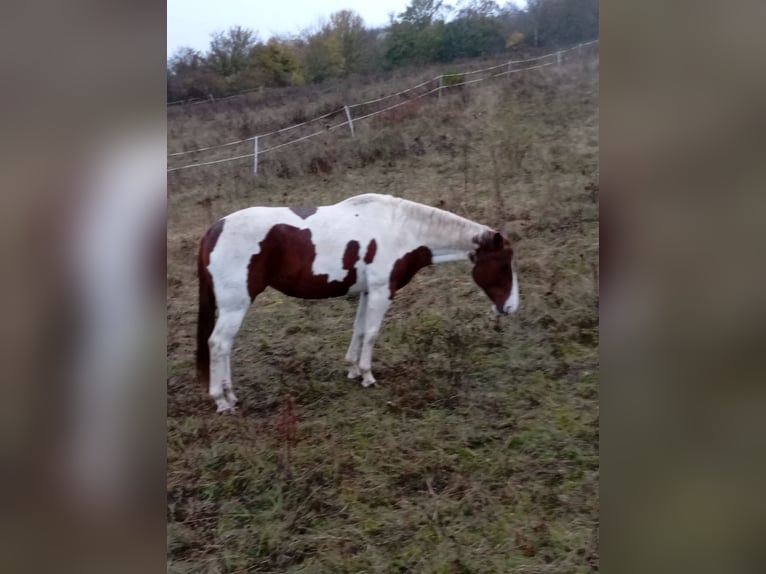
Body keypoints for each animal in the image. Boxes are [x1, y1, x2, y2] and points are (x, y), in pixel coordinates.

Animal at [198, 194, 520, 414]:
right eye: (504, 265)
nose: (511, 308)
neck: (402, 229)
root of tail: (214, 230)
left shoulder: (366, 292)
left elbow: (359, 329)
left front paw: (353, 369)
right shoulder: (381, 292)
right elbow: (372, 333)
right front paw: (367, 375)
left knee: (222, 346)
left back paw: (229, 395)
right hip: (235, 306)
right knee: (219, 344)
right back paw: (222, 401)